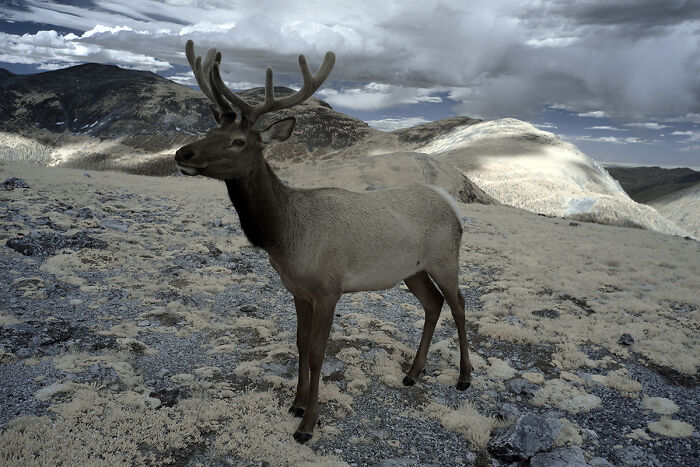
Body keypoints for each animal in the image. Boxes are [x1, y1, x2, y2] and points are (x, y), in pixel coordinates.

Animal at [174, 40, 472, 443]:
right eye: (208, 131)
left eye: (237, 141)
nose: (182, 153)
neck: (286, 237)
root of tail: (451, 205)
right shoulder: (298, 290)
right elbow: (300, 344)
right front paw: (296, 404)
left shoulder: (329, 288)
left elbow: (317, 352)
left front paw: (308, 424)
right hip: (412, 270)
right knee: (433, 304)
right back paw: (412, 372)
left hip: (445, 257)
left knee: (459, 305)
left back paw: (464, 377)